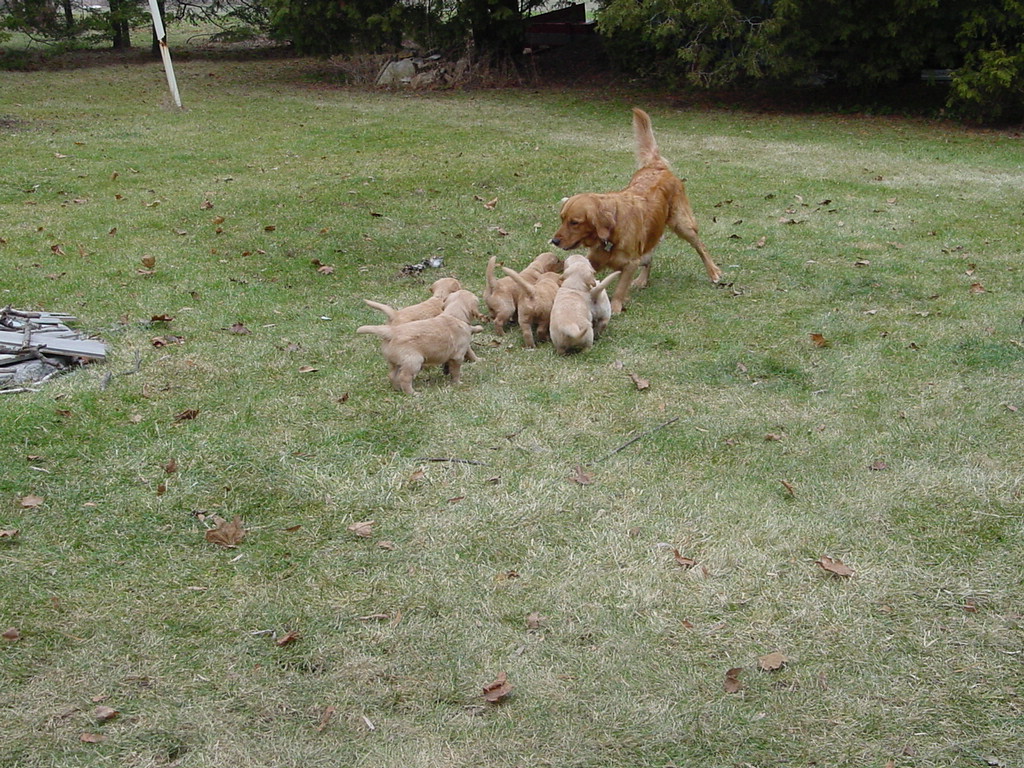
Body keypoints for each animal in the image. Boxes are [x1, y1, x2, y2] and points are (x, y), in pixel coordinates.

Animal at [552, 107, 720, 313]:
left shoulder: (630, 263)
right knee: (650, 255)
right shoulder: (594, 259)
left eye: (574, 222)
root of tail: (657, 164)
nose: (554, 241)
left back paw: (713, 272)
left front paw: (616, 307)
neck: (612, 234)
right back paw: (642, 280)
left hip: (683, 224)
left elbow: (620, 288)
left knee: (700, 246)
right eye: (562, 219)